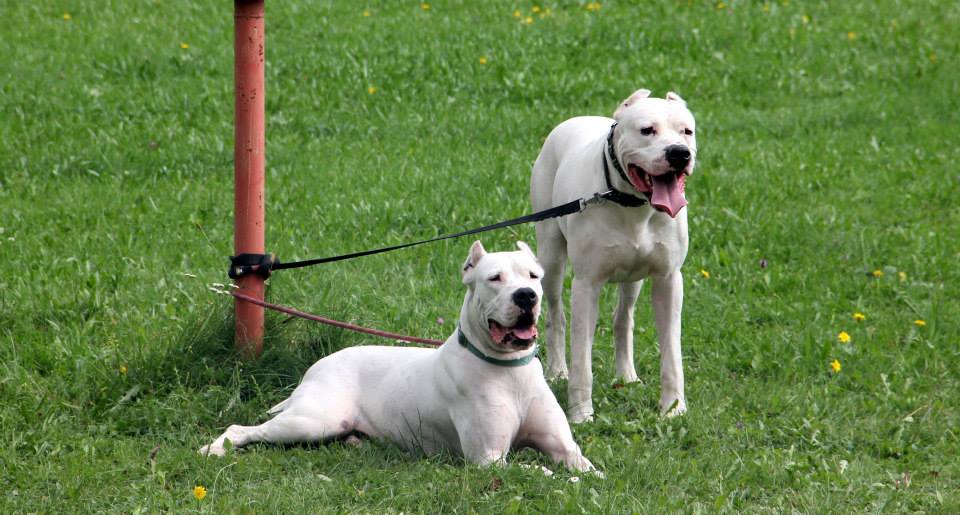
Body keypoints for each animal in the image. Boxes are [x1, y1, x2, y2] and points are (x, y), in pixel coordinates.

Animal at [200, 241, 597, 473]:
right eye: (494, 278)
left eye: (533, 275)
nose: (527, 296)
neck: (508, 369)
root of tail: (316, 367)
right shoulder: (487, 459)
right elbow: (537, 471)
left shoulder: (565, 446)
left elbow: (584, 466)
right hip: (313, 419)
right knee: (243, 429)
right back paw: (213, 448)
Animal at [530, 89, 697, 422]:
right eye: (647, 130)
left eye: (687, 131)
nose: (679, 153)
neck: (632, 203)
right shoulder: (587, 284)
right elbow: (582, 358)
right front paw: (581, 414)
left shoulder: (669, 280)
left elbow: (672, 354)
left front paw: (673, 408)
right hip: (551, 256)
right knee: (556, 315)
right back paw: (557, 370)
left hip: (634, 278)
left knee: (623, 317)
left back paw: (626, 376)